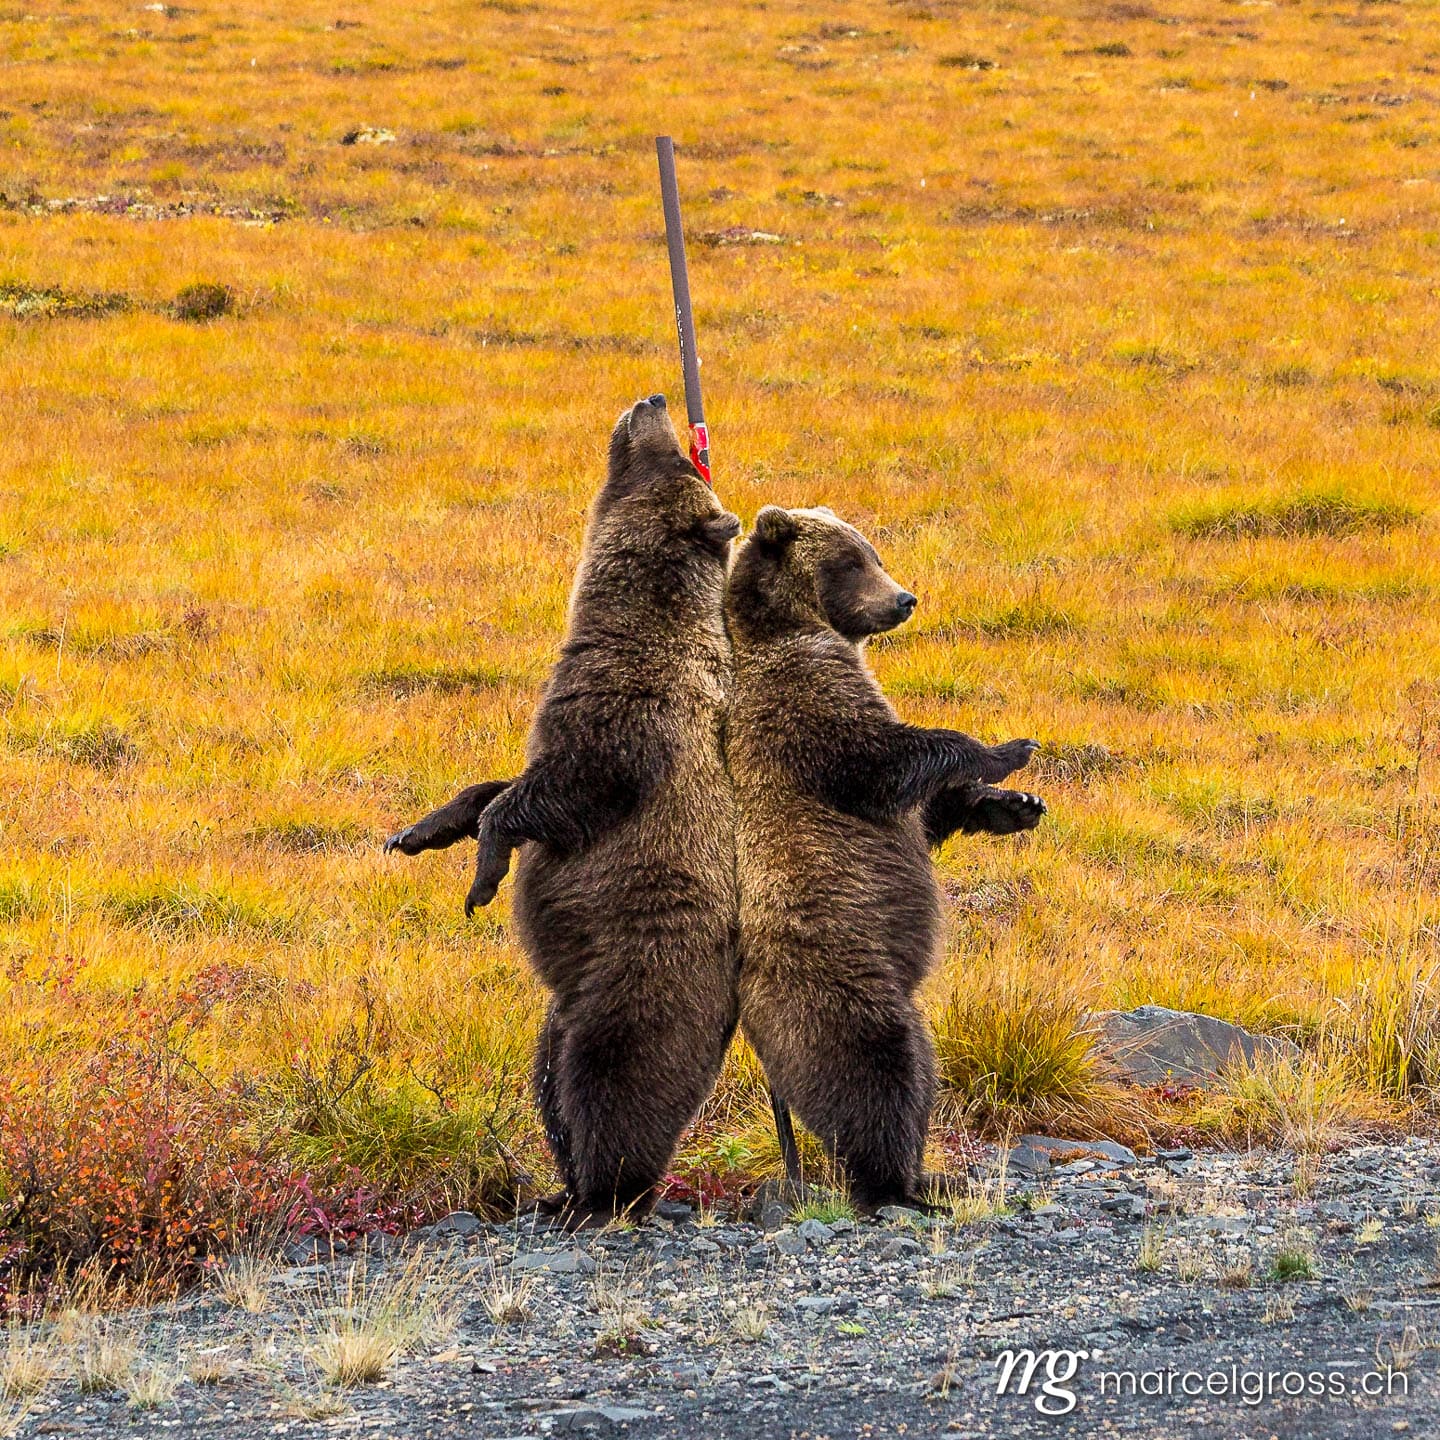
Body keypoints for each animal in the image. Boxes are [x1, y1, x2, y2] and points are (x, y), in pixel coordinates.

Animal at [389, 395, 741, 1225]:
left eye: (672, 456)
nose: (652, 399)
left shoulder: (630, 724)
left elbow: (563, 792)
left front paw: (483, 878)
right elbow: (501, 787)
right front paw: (422, 830)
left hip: (637, 990)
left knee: (611, 1088)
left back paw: (606, 1193)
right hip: (561, 1013)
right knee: (550, 1085)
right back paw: (561, 1188)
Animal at [724, 504, 1043, 1210]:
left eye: (873, 552)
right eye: (850, 561)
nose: (904, 598)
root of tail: (754, 1030)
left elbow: (925, 813)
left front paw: (1015, 805)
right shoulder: (802, 702)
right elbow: (880, 760)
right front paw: (1007, 749)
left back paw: (928, 1173)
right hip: (836, 981)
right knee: (877, 1067)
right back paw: (896, 1181)